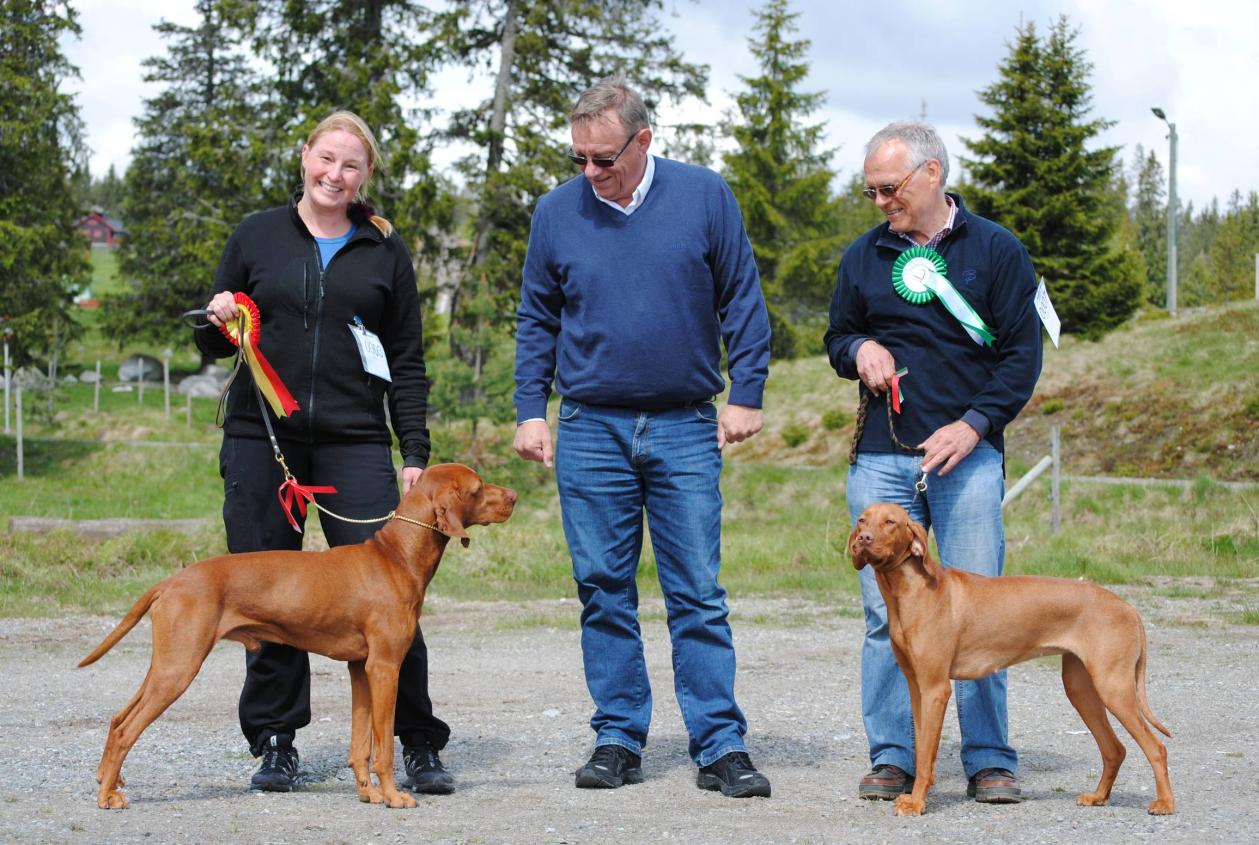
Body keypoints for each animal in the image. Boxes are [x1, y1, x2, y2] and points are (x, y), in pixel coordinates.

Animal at [851, 506, 1173, 816]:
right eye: (862, 520)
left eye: (890, 522)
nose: (863, 538)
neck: (912, 592)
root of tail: (1129, 608)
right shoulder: (917, 689)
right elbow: (921, 751)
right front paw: (916, 796)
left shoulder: (935, 689)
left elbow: (927, 753)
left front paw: (917, 803)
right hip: (1081, 689)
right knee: (1114, 749)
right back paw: (1098, 797)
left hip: (1113, 687)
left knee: (1156, 747)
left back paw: (1165, 803)